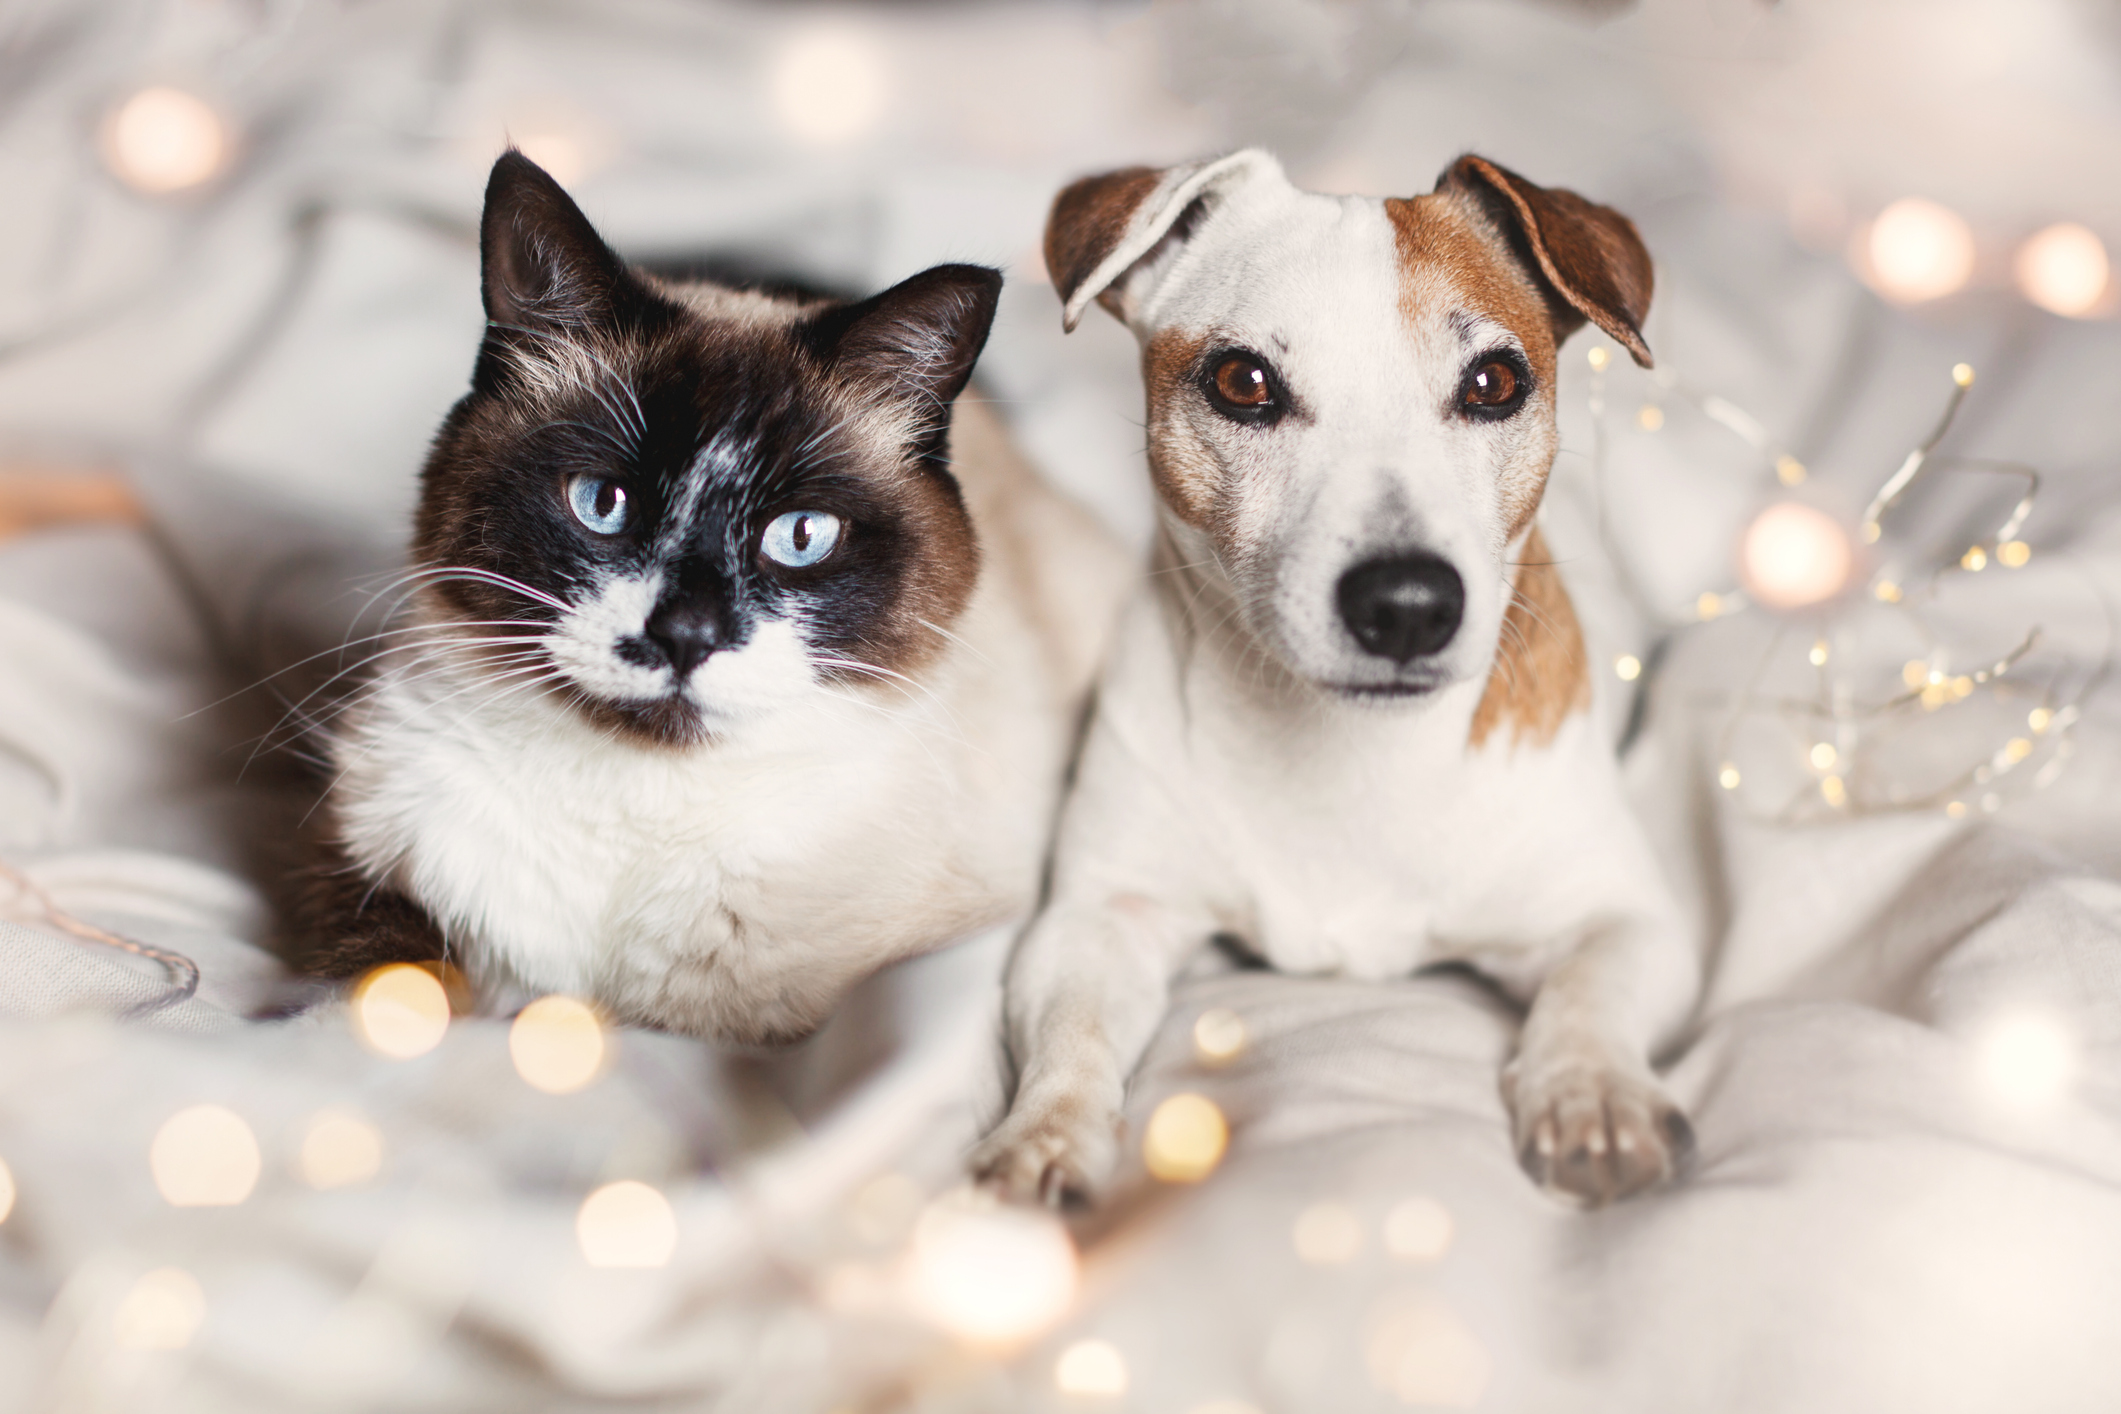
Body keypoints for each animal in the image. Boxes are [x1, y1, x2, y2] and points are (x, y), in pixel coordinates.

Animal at [979, 146, 1705, 1204]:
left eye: (1493, 381)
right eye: (1242, 381)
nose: (1406, 603)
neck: (1345, 752)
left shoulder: (1623, 919)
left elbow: (1589, 991)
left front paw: (1594, 1095)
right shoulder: (1098, 919)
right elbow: (1071, 1032)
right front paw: (1046, 1136)